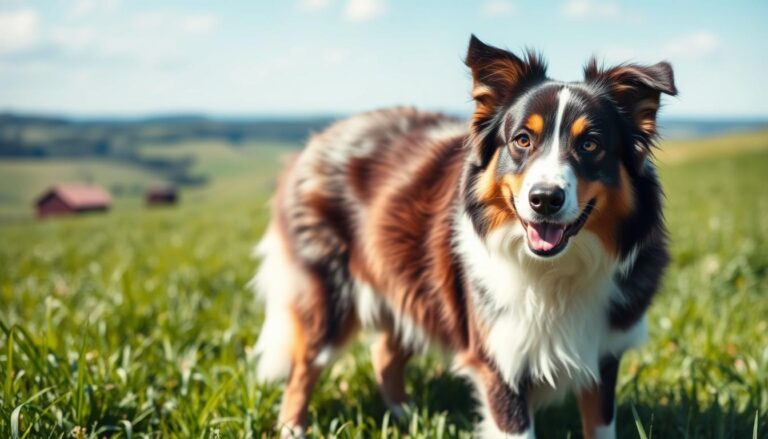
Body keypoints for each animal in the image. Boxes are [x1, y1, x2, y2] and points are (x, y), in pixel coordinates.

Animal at [249, 35, 676, 439]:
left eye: (590, 144)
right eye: (522, 140)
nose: (544, 200)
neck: (555, 271)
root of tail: (317, 139)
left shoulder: (604, 351)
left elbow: (601, 425)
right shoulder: (500, 358)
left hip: (417, 290)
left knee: (383, 355)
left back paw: (407, 417)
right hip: (330, 296)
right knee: (304, 368)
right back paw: (293, 428)